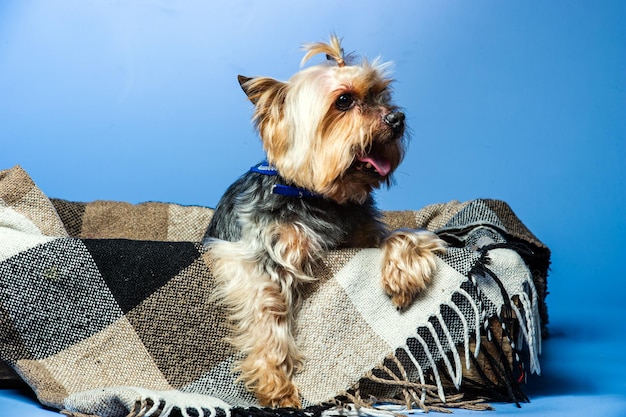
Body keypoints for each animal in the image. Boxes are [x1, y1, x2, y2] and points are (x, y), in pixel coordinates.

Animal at [204, 35, 444, 406]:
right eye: (344, 100)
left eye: (381, 94)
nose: (398, 117)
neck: (317, 197)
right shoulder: (249, 253)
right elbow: (266, 304)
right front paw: (275, 381)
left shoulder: (364, 232)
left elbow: (400, 236)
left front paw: (403, 277)